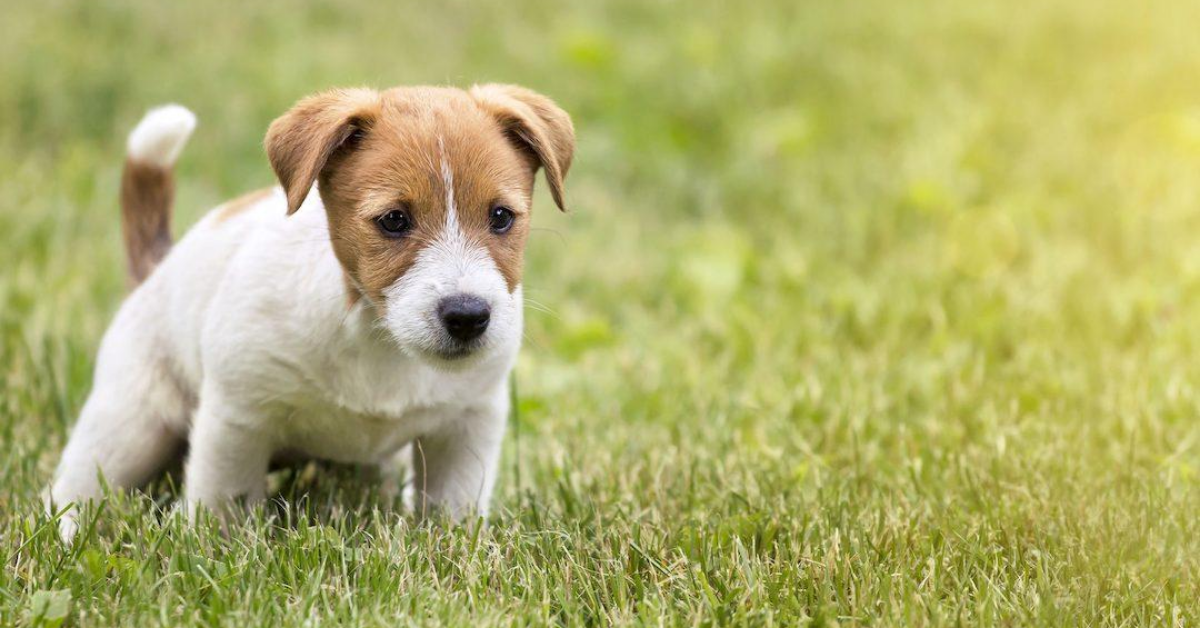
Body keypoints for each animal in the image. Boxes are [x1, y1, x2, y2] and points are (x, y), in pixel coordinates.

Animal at [46, 85, 571, 542]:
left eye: (501, 217)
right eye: (394, 220)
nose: (467, 316)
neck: (376, 336)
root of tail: (158, 268)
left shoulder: (468, 424)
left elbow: (452, 507)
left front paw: (450, 548)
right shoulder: (237, 418)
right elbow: (222, 501)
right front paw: (214, 550)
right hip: (129, 424)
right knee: (72, 489)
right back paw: (65, 539)